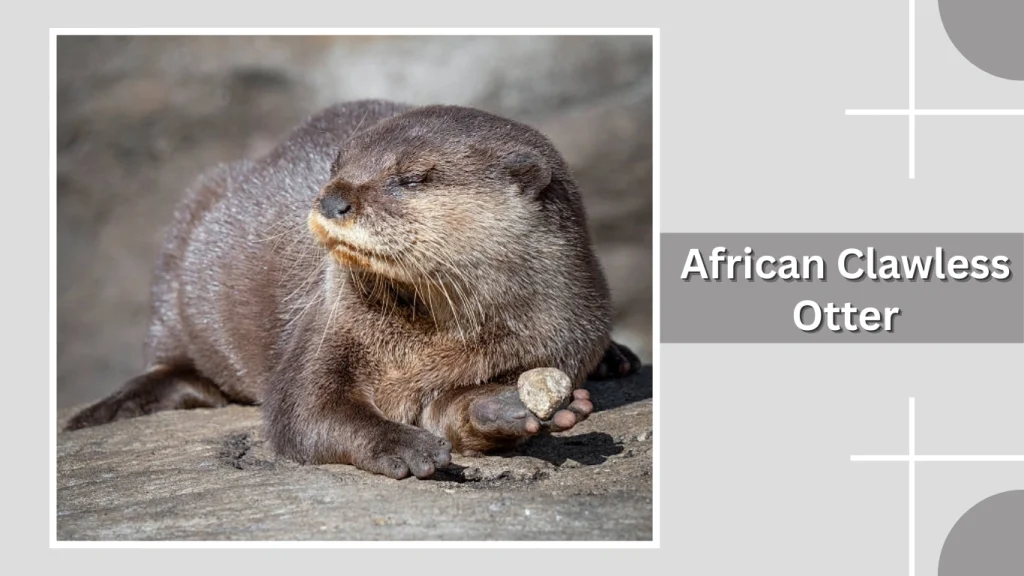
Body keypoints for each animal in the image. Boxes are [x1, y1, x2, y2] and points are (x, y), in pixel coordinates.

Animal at [65, 100, 641, 479]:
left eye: (411, 177)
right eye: (336, 165)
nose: (332, 198)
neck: (433, 345)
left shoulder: (561, 339)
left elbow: (451, 410)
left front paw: (505, 408)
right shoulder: (327, 322)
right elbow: (306, 412)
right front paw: (404, 445)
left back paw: (618, 358)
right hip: (188, 225)